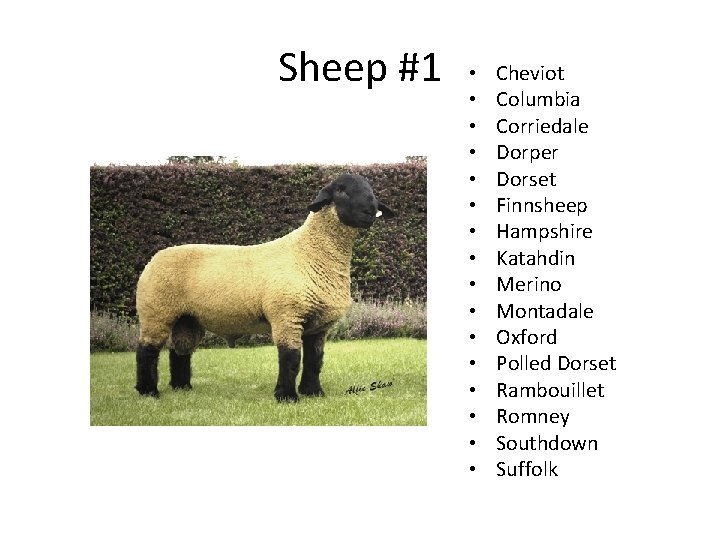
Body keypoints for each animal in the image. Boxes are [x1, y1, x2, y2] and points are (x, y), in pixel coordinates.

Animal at [134, 173, 394, 401]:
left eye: (371, 190)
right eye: (341, 190)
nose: (370, 211)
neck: (309, 253)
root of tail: (154, 258)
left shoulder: (319, 326)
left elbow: (314, 361)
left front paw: (313, 393)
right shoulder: (287, 316)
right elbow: (291, 359)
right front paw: (287, 397)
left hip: (187, 319)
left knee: (179, 351)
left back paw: (182, 387)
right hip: (156, 310)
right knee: (147, 351)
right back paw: (148, 392)